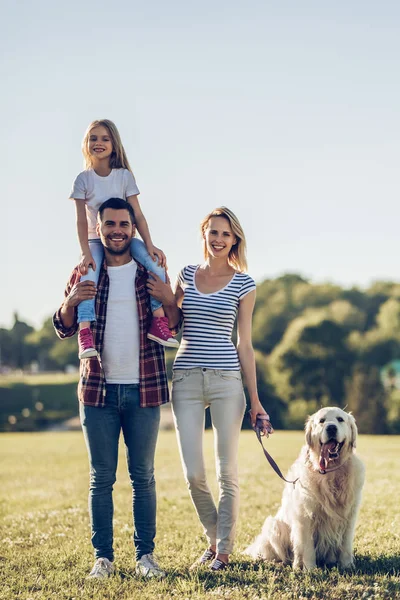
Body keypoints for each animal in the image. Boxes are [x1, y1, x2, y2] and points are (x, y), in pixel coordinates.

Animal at [245, 406, 364, 568]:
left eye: (340, 419)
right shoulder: (305, 516)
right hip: (274, 525)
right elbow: (307, 547)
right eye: (322, 421)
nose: (331, 428)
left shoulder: (349, 515)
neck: (330, 472)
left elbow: (345, 545)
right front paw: (309, 568)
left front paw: (347, 566)